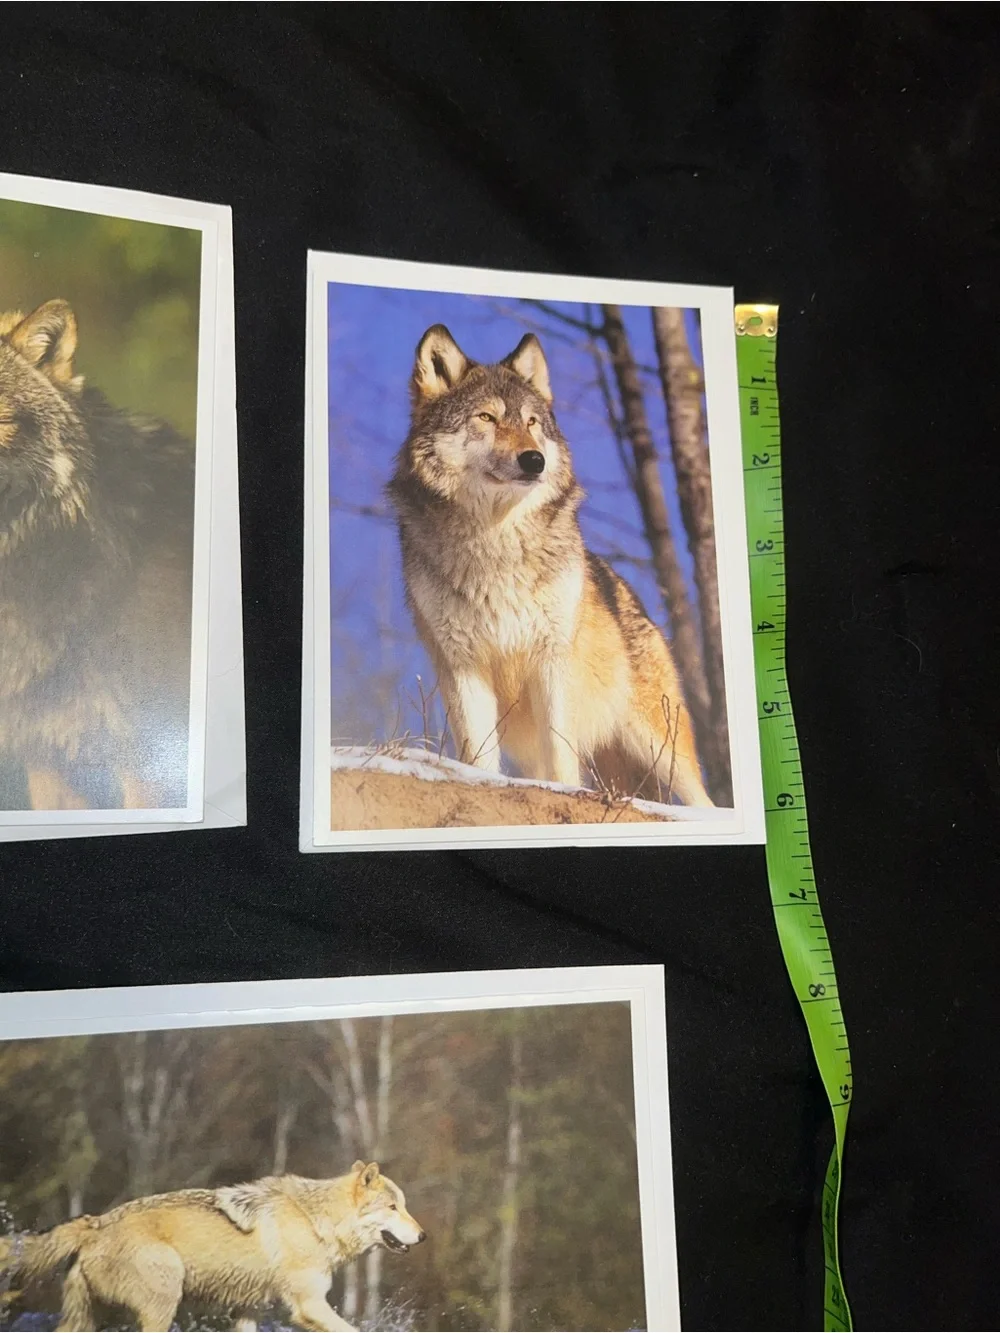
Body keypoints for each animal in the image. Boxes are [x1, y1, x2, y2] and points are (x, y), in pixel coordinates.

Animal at [0, 1161, 425, 1332]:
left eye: (404, 1205)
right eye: (394, 1207)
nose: (422, 1237)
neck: (315, 1220)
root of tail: (94, 1223)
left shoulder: (249, 1310)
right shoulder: (308, 1306)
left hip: (88, 1318)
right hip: (163, 1300)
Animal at [386, 324, 713, 807]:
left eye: (531, 423)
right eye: (486, 418)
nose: (534, 459)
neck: (496, 543)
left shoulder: (551, 660)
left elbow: (560, 753)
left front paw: (564, 794)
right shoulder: (462, 666)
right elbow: (479, 757)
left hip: (661, 746)